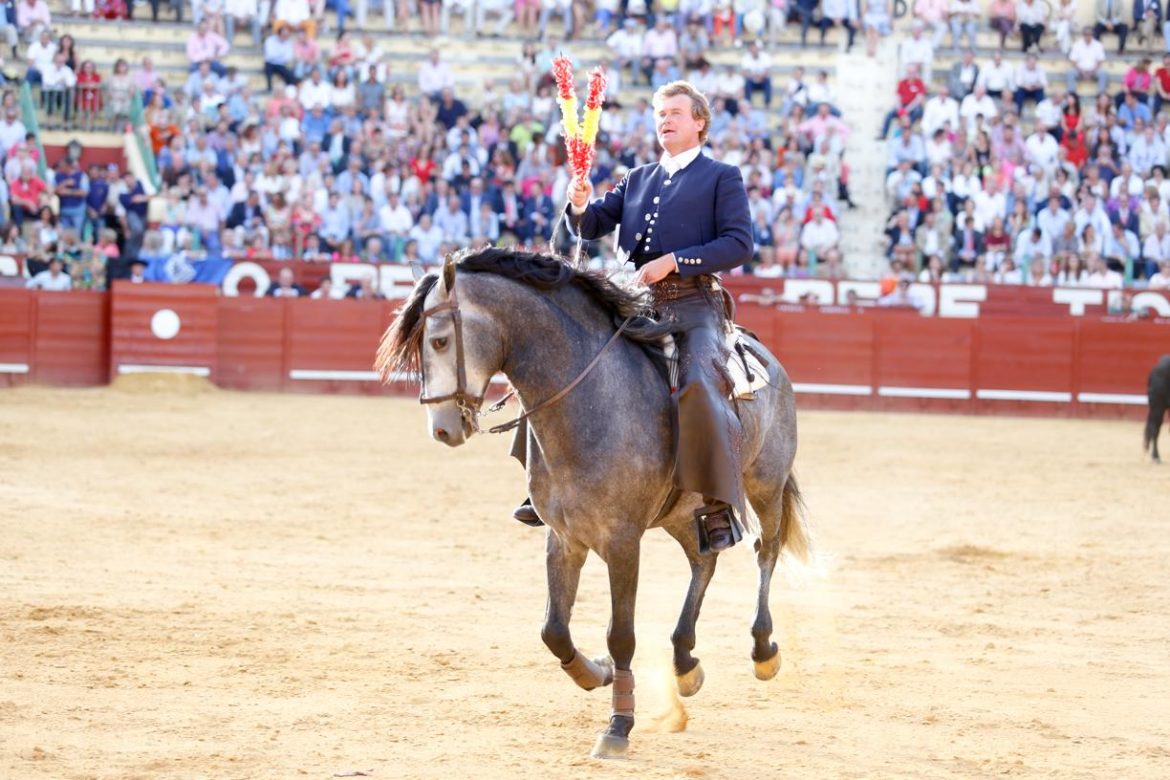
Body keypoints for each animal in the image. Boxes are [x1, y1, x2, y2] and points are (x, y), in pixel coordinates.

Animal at [379, 249, 809, 757]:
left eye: (441, 340)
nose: (443, 428)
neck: (587, 401)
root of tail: (764, 356)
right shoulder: (564, 537)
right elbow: (553, 629)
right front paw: (594, 673)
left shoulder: (622, 542)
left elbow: (621, 634)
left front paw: (618, 725)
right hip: (683, 509)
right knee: (704, 560)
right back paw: (685, 662)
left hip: (765, 484)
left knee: (766, 550)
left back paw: (763, 649)